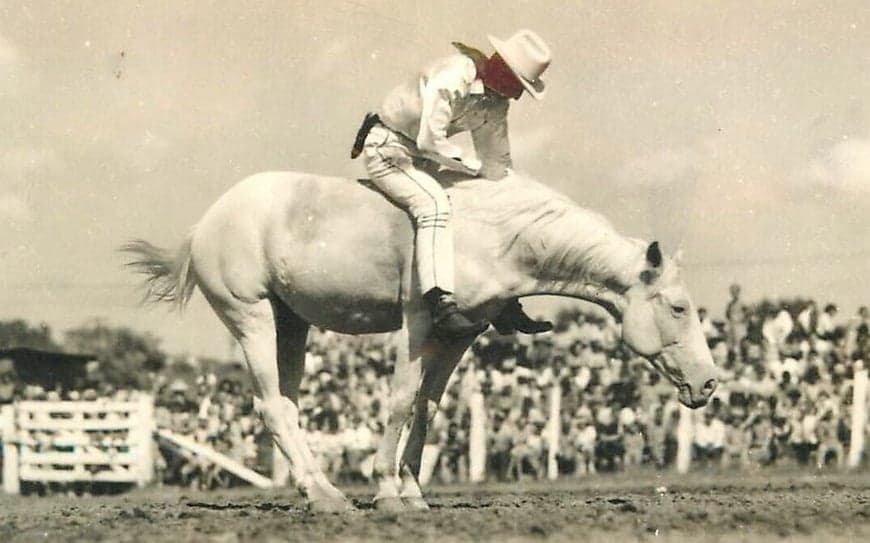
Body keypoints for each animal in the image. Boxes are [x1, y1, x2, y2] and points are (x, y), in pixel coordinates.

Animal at [126, 170, 720, 516]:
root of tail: (206, 224)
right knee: (271, 405)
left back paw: (313, 489)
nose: (710, 383)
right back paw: (328, 497)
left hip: (290, 323)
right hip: (250, 316)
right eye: (678, 307)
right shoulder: (416, 325)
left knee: (289, 406)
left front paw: (412, 489)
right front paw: (388, 493)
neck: (497, 234)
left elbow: (428, 407)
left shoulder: (459, 333)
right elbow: (397, 401)